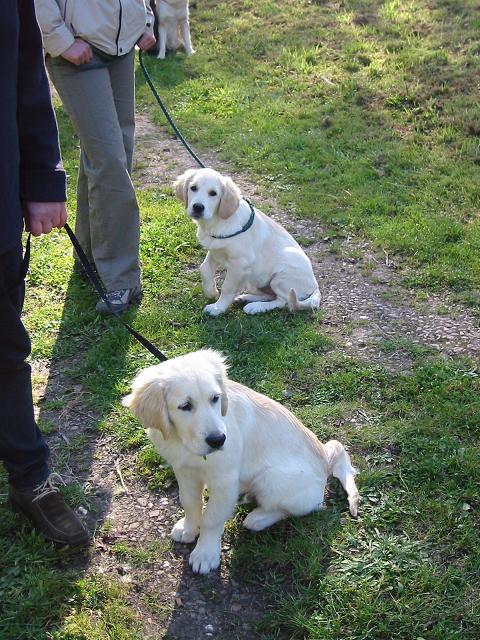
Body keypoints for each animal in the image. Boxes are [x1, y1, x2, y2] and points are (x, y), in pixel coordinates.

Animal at [122, 350, 358, 576]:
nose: (218, 440)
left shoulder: (224, 480)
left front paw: (205, 554)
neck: (183, 441)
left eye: (215, 398)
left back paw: (258, 518)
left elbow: (212, 517)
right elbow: (189, 502)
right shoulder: (184, 471)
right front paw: (188, 529)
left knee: (303, 507)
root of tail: (326, 461)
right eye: (185, 406)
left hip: (271, 478)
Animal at [174, 168, 320, 316]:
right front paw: (211, 292)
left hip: (282, 274)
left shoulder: (239, 264)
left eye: (213, 193)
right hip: (253, 278)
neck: (217, 222)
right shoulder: (215, 250)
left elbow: (227, 287)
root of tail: (315, 286)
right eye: (193, 188)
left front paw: (217, 308)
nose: (198, 207)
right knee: (270, 295)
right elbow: (204, 269)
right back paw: (245, 298)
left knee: (284, 302)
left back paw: (255, 307)